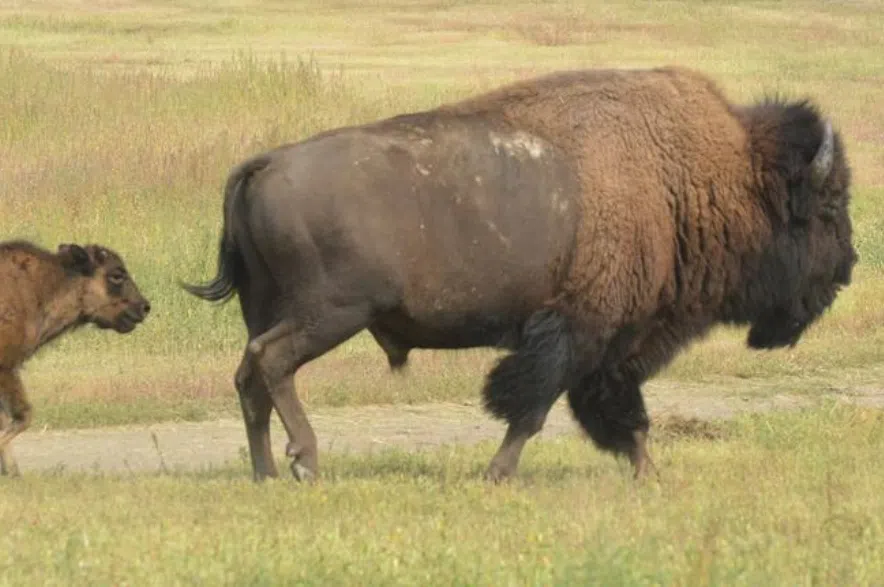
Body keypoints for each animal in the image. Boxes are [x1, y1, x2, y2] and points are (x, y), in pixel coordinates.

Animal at [183, 66, 856, 483]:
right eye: (827, 209)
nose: (847, 270)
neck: (695, 177)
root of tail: (264, 163)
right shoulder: (578, 332)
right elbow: (533, 407)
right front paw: (498, 474)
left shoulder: (611, 344)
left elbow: (624, 415)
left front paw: (650, 476)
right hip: (329, 314)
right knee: (271, 364)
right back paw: (306, 462)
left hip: (270, 309)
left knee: (249, 377)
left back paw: (267, 473)